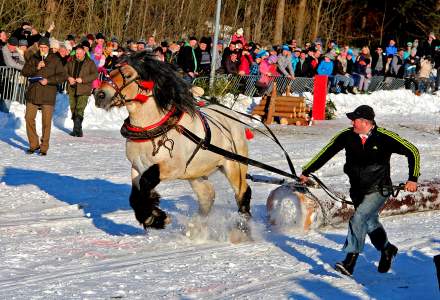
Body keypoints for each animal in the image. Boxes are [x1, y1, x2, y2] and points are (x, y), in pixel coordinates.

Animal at [93, 52, 251, 232]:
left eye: (127, 75)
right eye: (111, 71)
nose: (99, 94)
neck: (152, 127)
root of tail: (232, 117)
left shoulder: (173, 167)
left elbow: (146, 182)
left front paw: (156, 215)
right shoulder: (137, 167)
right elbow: (135, 196)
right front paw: (152, 217)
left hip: (234, 166)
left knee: (242, 192)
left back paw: (242, 224)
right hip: (196, 173)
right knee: (207, 196)